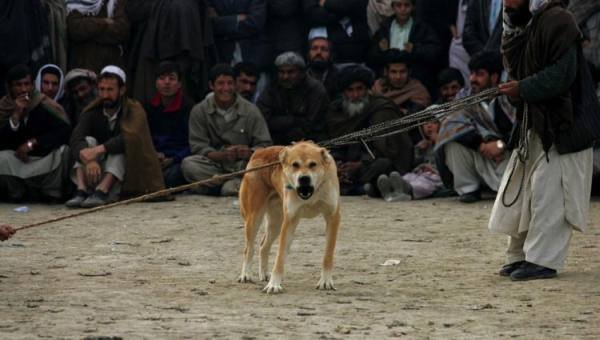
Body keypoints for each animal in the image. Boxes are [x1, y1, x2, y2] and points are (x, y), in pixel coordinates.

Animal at [239, 141, 342, 292]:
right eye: (295, 165)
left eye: (313, 164)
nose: (304, 179)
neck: (312, 193)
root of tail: (260, 151)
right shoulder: (290, 221)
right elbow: (280, 256)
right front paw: (274, 284)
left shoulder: (332, 217)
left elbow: (328, 255)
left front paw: (326, 282)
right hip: (254, 218)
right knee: (249, 249)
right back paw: (246, 275)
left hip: (276, 222)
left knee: (263, 246)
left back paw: (264, 274)